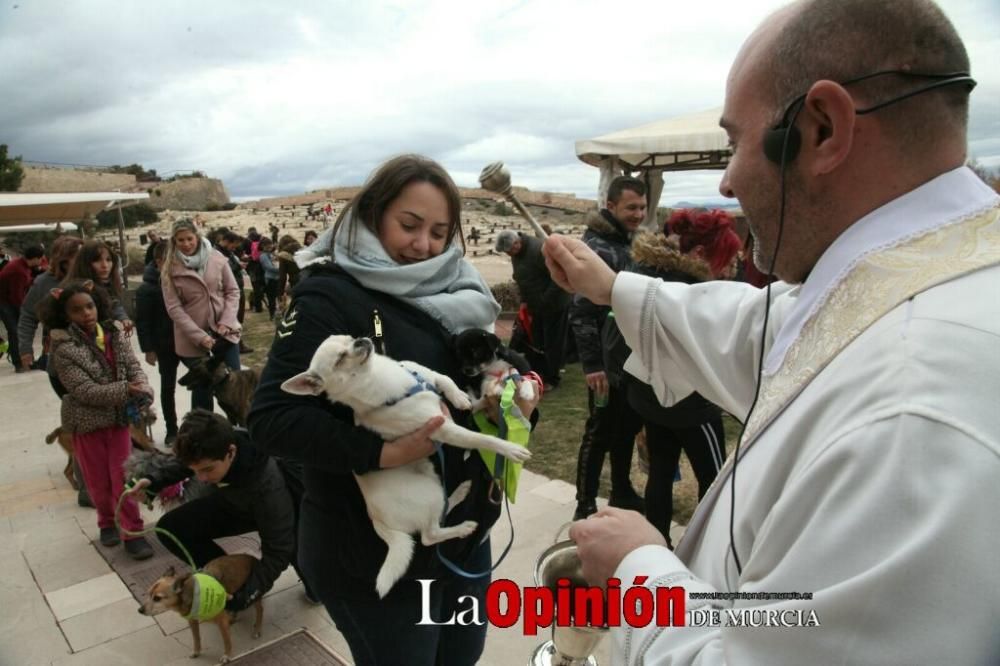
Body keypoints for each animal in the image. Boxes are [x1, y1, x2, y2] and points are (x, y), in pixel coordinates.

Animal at [282, 334, 532, 592]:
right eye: (340, 359)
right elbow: (481, 439)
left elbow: (445, 379)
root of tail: (377, 519)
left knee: (441, 510)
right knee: (429, 535)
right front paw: (510, 449)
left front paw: (460, 397)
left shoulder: (427, 374)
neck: (384, 381)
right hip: (427, 492)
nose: (361, 340)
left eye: (347, 338)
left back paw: (460, 492)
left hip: (430, 476)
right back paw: (462, 527)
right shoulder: (443, 429)